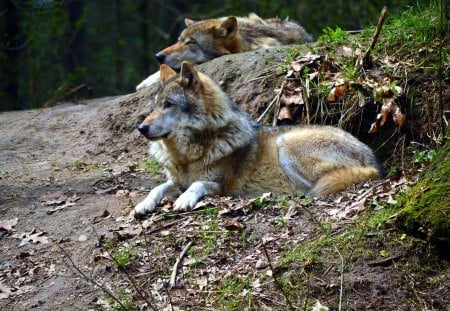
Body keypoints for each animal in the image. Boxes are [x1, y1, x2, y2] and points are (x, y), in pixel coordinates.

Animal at [134, 61, 384, 217]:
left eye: (169, 105)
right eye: (155, 106)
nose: (141, 128)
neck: (187, 156)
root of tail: (374, 163)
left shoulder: (221, 187)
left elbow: (197, 184)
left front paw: (184, 199)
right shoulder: (176, 181)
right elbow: (157, 188)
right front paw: (143, 204)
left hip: (286, 146)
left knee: (310, 189)